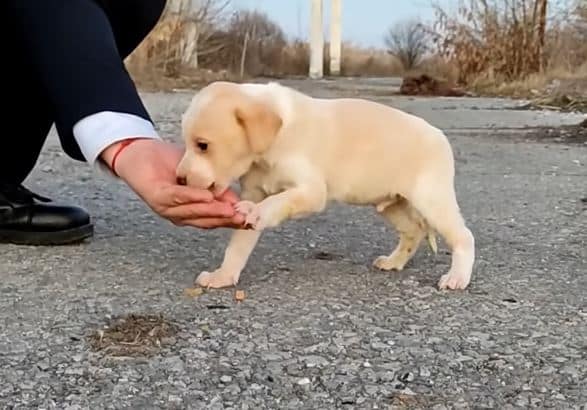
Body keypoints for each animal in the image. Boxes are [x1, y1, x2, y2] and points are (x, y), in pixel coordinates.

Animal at [176, 81, 475, 290]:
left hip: (431, 198)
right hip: (392, 203)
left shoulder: (311, 191)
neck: (276, 135)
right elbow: (238, 245)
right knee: (413, 231)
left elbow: (277, 201)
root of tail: (439, 135)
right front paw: (223, 275)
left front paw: (258, 212)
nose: (179, 179)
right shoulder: (254, 191)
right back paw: (393, 262)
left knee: (463, 236)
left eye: (202, 145)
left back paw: (457, 277)